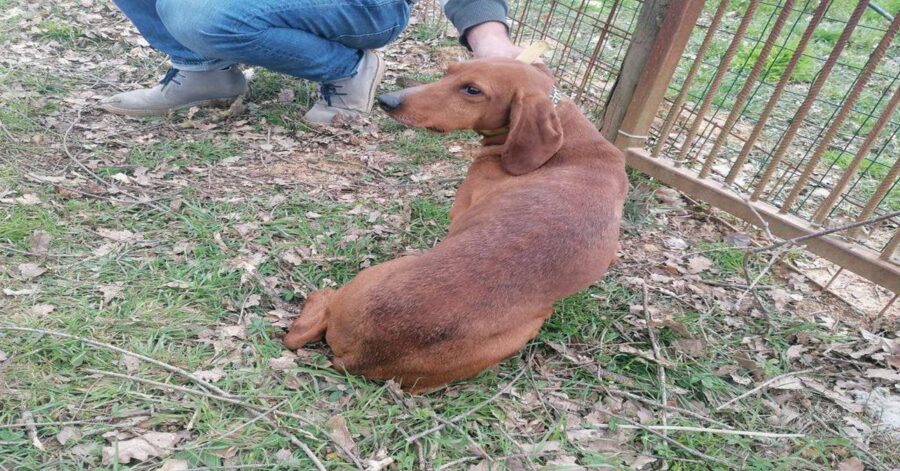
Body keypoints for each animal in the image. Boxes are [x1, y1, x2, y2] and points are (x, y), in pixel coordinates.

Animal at [284, 57, 624, 392]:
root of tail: (360, 355)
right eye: (451, 70)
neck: (567, 141)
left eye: (473, 90)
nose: (388, 100)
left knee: (314, 309)